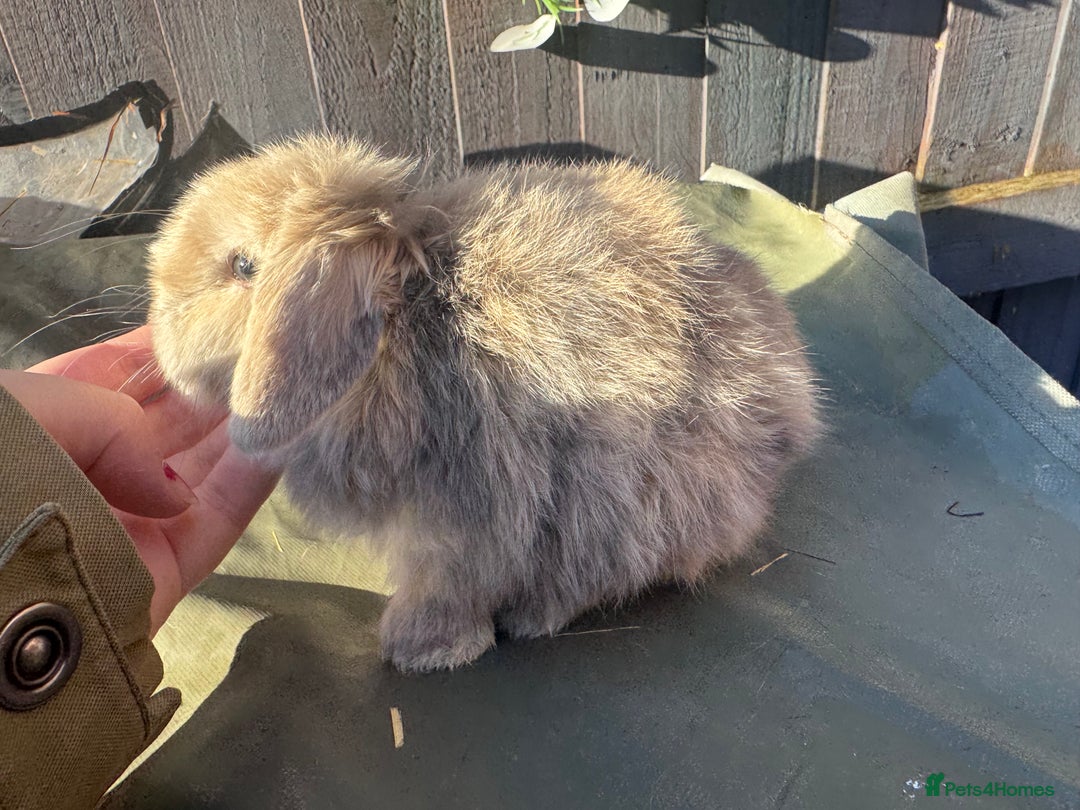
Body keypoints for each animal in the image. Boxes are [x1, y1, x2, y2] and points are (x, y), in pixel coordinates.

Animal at [147, 135, 821, 673]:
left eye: (243, 266)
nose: (161, 339)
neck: (403, 323)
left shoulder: (465, 511)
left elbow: (447, 582)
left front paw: (420, 650)